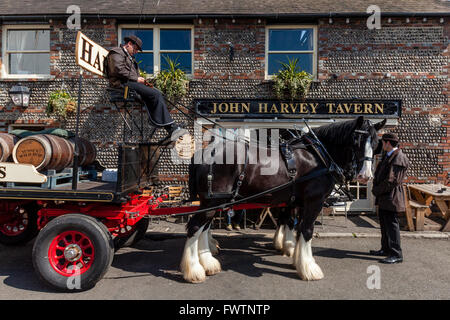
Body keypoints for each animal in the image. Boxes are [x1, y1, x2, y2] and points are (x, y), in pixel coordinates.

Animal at [183, 115, 386, 282]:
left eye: (376, 143)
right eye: (357, 140)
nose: (364, 176)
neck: (318, 157)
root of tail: (204, 152)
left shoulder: (298, 201)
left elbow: (293, 224)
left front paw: (293, 254)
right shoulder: (314, 201)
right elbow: (306, 231)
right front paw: (309, 268)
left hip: (212, 201)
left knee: (203, 227)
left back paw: (208, 262)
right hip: (213, 201)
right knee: (194, 227)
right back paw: (194, 270)